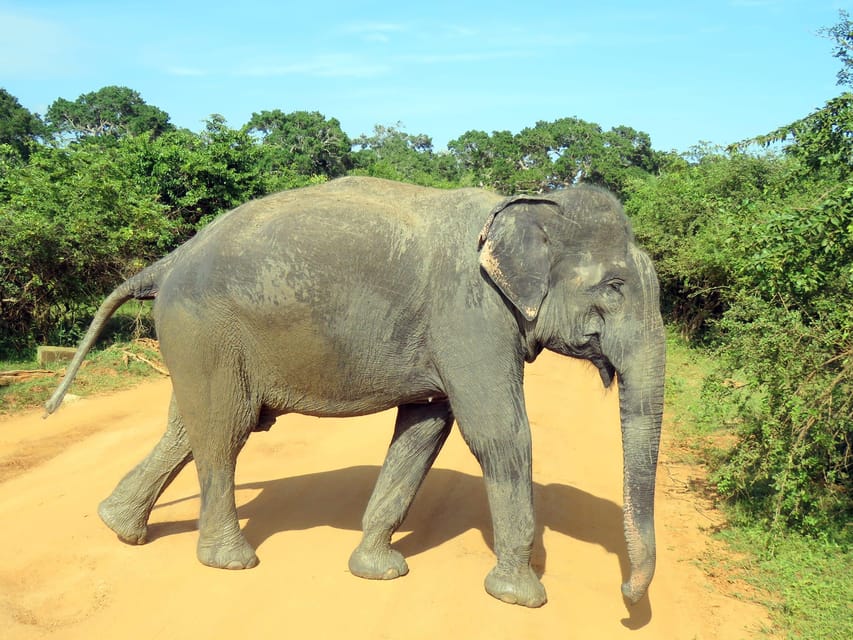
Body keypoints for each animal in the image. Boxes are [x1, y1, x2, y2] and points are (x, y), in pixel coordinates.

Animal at [45, 174, 664, 604]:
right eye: (614, 286)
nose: (627, 596)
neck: (531, 203)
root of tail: (168, 262)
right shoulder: (470, 315)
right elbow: (499, 434)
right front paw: (520, 598)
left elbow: (424, 431)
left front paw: (376, 570)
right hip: (206, 328)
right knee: (226, 429)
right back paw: (230, 561)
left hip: (197, 338)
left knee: (189, 425)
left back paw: (118, 526)